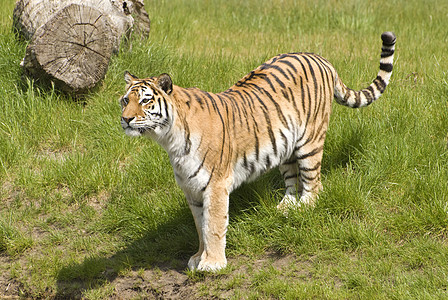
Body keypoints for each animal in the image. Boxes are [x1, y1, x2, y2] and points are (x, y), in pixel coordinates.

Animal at [119, 32, 396, 272]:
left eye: (145, 100)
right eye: (125, 100)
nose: (126, 119)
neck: (169, 140)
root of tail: (319, 57)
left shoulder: (215, 185)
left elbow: (213, 226)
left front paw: (212, 264)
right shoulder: (192, 189)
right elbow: (200, 226)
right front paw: (198, 257)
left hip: (310, 140)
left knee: (314, 183)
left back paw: (304, 208)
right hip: (284, 143)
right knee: (292, 179)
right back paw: (286, 207)